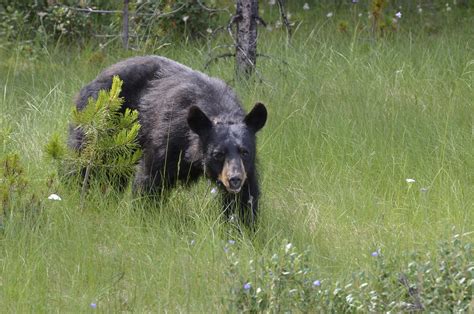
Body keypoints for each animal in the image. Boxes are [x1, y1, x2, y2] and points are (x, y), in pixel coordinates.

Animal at [69, 56, 266, 227]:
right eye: (217, 154)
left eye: (245, 151)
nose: (234, 179)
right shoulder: (168, 138)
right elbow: (149, 179)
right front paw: (144, 217)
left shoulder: (246, 168)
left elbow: (244, 199)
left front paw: (243, 228)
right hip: (99, 124)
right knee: (81, 164)